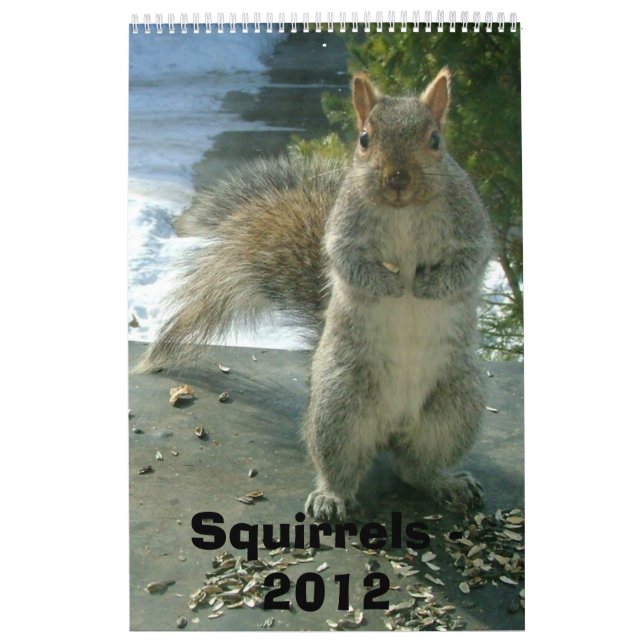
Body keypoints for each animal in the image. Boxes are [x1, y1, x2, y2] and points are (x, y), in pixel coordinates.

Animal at [135, 68, 494, 521]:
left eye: (435, 140)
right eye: (364, 138)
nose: (397, 179)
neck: (403, 211)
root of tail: (392, 429)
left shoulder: (471, 224)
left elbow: (470, 261)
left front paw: (429, 285)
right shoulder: (342, 231)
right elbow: (348, 262)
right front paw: (391, 285)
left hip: (455, 406)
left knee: (417, 468)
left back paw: (446, 482)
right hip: (338, 408)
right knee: (341, 464)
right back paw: (331, 497)